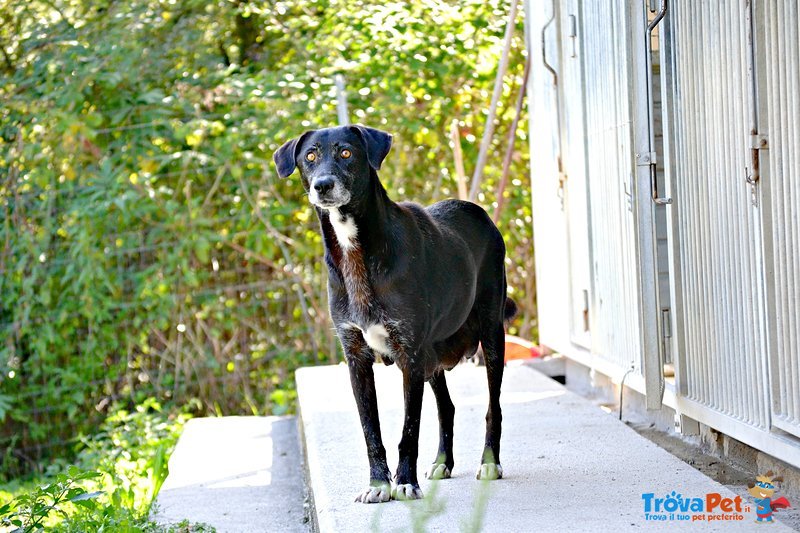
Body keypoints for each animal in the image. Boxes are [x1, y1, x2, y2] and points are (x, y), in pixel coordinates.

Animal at [272, 124, 516, 502]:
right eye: (310, 156)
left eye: (346, 152)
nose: (322, 185)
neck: (356, 249)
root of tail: (478, 211)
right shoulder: (357, 356)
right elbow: (370, 431)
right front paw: (377, 484)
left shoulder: (409, 353)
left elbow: (409, 430)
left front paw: (404, 482)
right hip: (433, 355)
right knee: (447, 407)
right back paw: (442, 463)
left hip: (490, 335)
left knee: (494, 406)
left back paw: (490, 463)